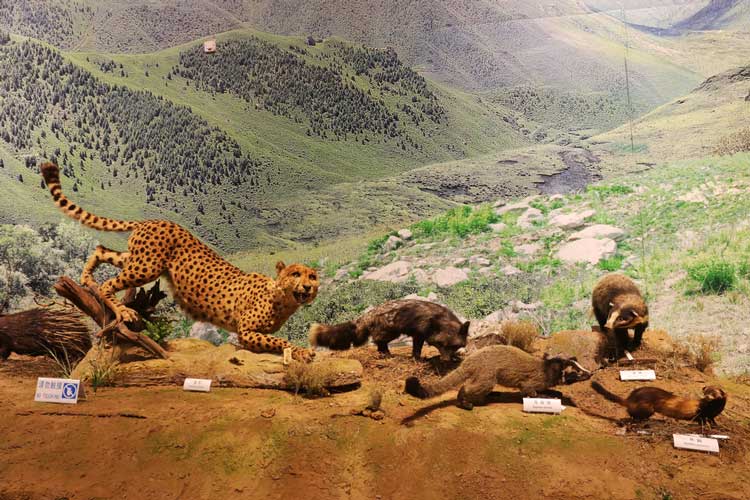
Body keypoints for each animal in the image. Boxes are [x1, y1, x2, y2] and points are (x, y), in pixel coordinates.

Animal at [40, 162, 318, 361]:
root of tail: (153, 220)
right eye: (296, 274)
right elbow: (281, 341)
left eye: (313, 277)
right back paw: (122, 309)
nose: (307, 286)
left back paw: (86, 278)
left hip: (139, 259)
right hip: (146, 267)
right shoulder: (247, 330)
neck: (282, 300)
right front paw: (303, 352)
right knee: (109, 282)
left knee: (101, 249)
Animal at [309, 299, 469, 361]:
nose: (445, 360)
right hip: (391, 332)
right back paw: (386, 355)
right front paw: (417, 359)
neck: (440, 318)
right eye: (441, 344)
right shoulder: (418, 334)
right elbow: (416, 349)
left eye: (454, 345)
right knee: (379, 343)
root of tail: (369, 314)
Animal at [405, 345, 591, 410]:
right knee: (472, 386)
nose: (590, 374)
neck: (549, 367)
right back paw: (464, 399)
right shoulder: (532, 381)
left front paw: (556, 393)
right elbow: (530, 391)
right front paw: (545, 396)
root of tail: (469, 361)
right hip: (487, 374)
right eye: (577, 372)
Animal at [591, 382, 727, 424]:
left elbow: (712, 420)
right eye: (706, 392)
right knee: (632, 414)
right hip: (648, 408)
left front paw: (715, 424)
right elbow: (702, 419)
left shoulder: (711, 415)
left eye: (713, 393)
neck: (715, 410)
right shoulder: (702, 413)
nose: (707, 397)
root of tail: (631, 398)